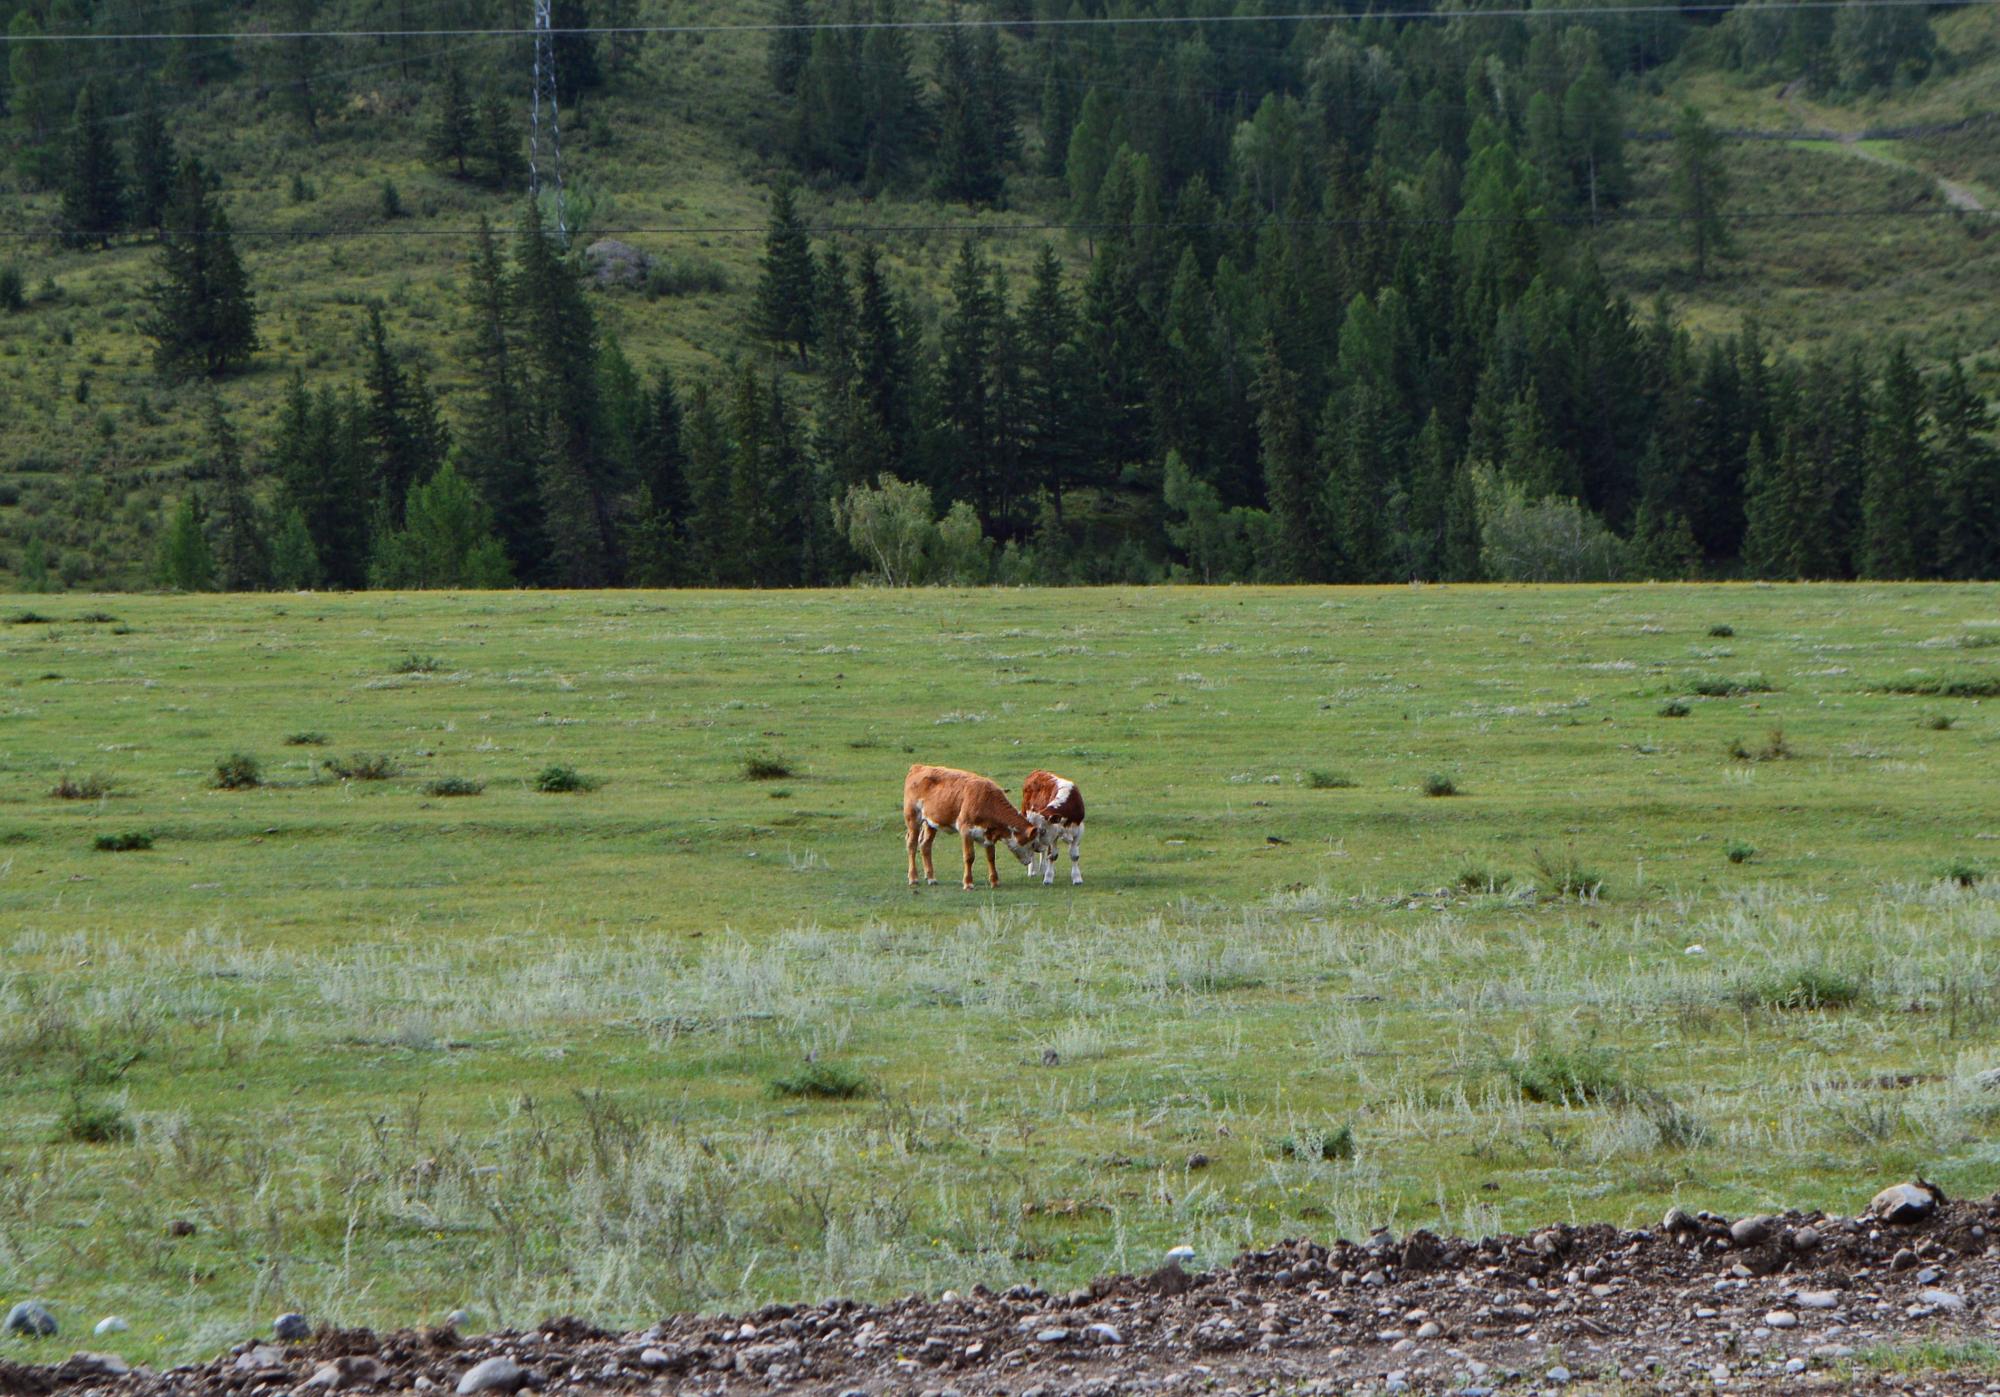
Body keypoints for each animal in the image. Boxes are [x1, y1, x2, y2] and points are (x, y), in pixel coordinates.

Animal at [904, 756, 1040, 888]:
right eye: (1032, 843)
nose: (1029, 861)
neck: (988, 801)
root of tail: (918, 767)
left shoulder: (988, 834)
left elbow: (991, 857)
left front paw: (995, 881)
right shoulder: (966, 830)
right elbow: (969, 857)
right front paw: (968, 883)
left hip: (931, 823)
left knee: (925, 845)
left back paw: (931, 878)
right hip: (913, 818)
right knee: (912, 845)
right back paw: (913, 878)